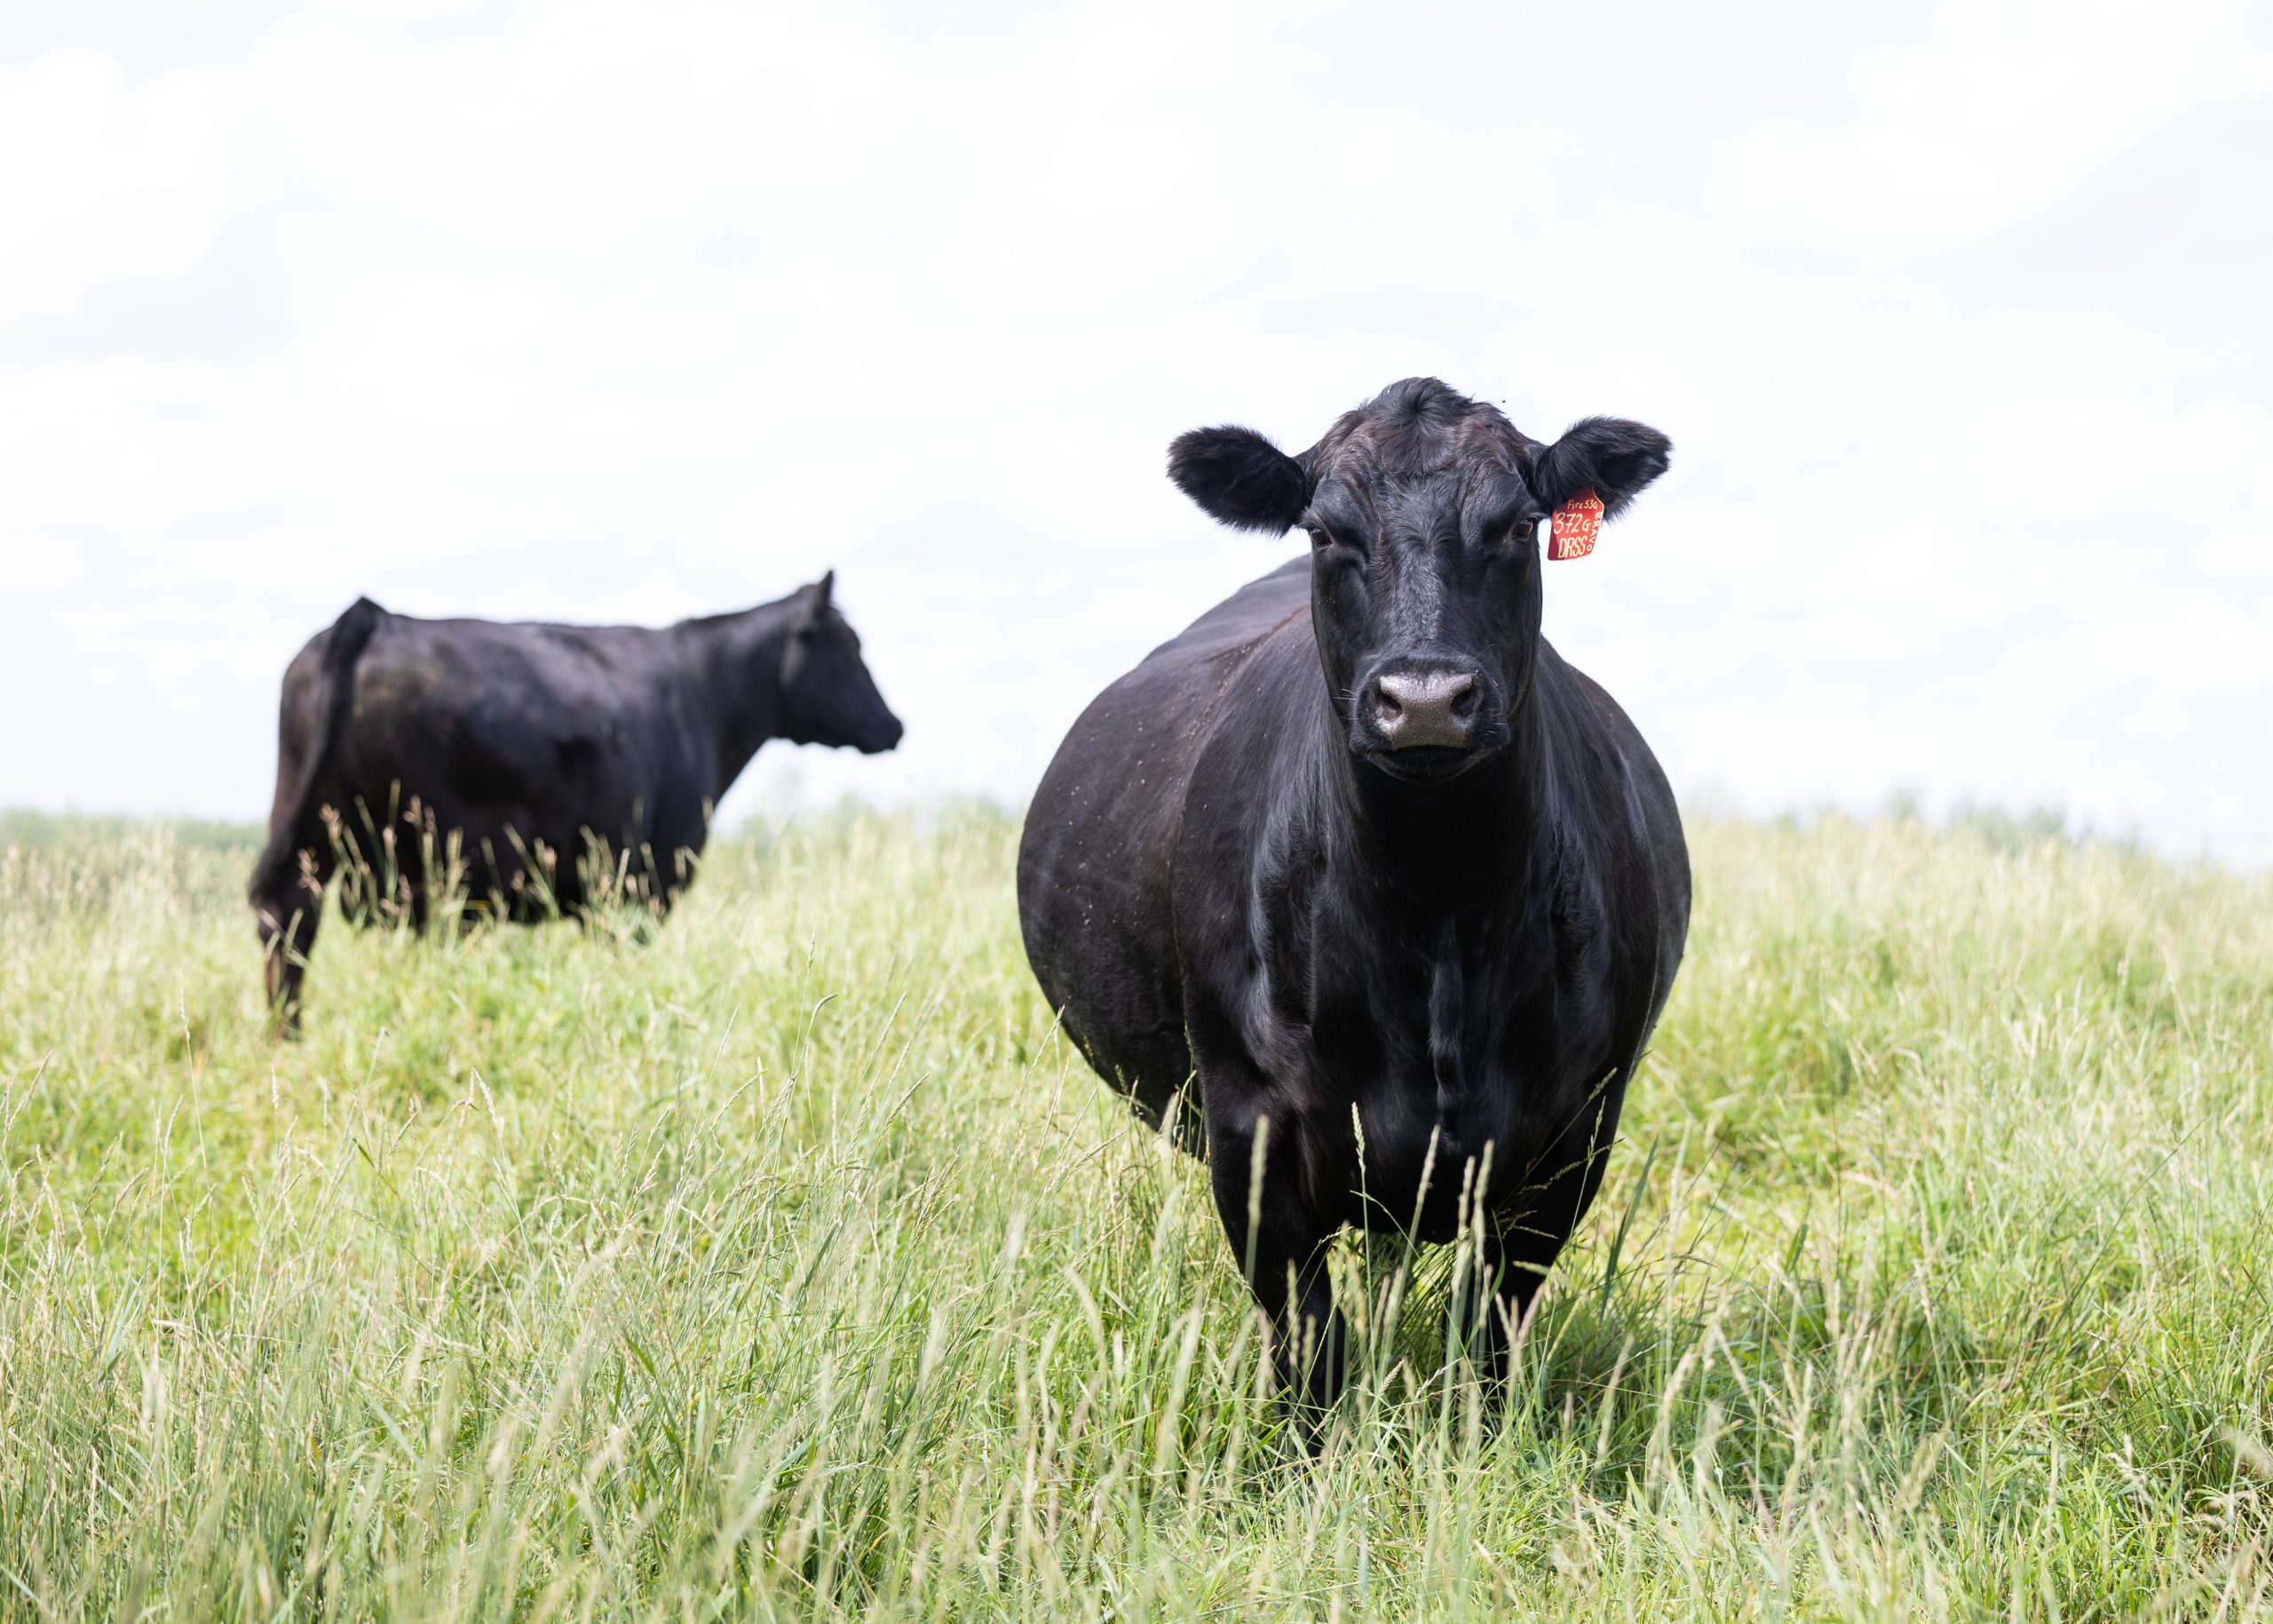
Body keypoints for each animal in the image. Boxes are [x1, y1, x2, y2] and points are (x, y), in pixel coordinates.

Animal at [250, 573, 902, 1025]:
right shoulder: (644, 882)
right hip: (430, 858)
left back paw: (288, 1040)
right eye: (850, 647)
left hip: (311, 830)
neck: (706, 696)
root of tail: (374, 617)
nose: (894, 725)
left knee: (287, 922)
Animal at [1017, 378, 1688, 1422]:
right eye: (1328, 530)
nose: (1424, 698)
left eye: (1515, 523)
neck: (1434, 902)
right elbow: (1310, 1345)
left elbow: (1488, 1333)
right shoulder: (1249, 1131)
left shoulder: (1576, 1134)